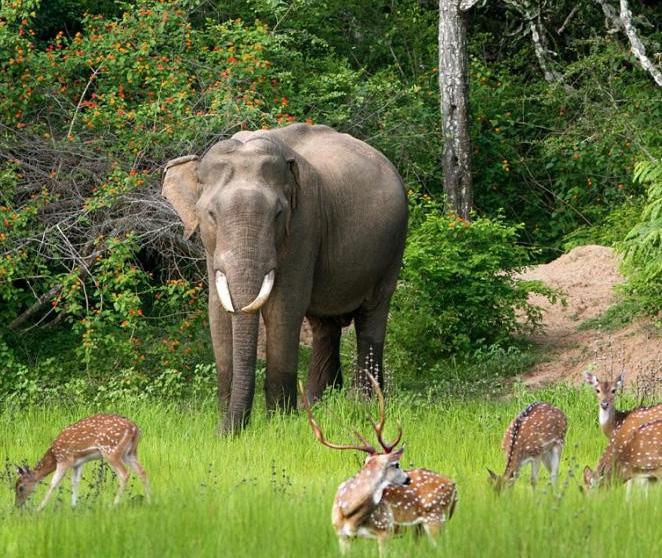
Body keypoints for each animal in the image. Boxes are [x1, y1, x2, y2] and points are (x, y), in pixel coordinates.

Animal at [14, 414, 150, 516]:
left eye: (20, 487)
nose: (17, 505)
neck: (54, 455)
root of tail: (135, 429)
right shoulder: (78, 463)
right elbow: (75, 482)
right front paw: (74, 506)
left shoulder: (64, 459)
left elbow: (53, 484)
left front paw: (39, 509)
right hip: (130, 452)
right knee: (142, 471)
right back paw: (150, 500)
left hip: (111, 450)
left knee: (124, 474)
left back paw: (114, 505)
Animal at [162, 124, 410, 436]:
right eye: (211, 214)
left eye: (278, 214)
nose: (228, 431)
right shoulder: (211, 247)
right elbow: (217, 312)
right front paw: (226, 425)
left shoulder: (304, 225)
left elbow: (284, 308)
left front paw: (280, 423)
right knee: (324, 326)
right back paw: (318, 405)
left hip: (393, 246)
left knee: (372, 316)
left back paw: (362, 406)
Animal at [304, 376, 460, 556]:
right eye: (396, 464)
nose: (407, 479)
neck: (349, 514)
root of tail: (454, 486)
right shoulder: (342, 535)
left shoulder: (385, 528)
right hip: (420, 527)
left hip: (435, 517)